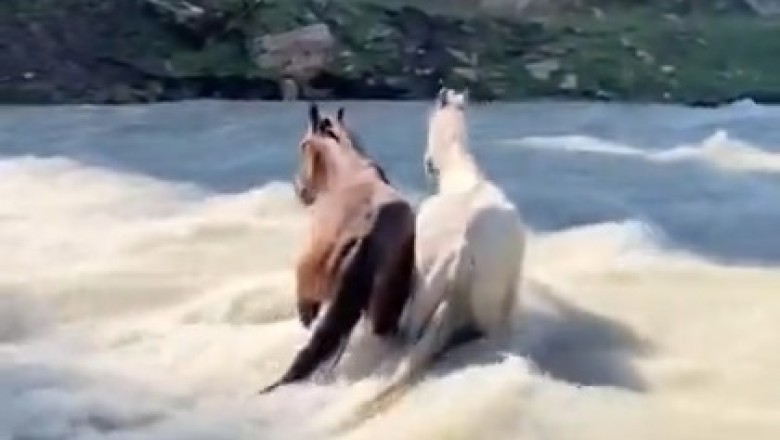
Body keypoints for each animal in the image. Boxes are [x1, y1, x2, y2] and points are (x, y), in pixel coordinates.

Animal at [341, 88, 527, 424]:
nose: (427, 164)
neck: (463, 174)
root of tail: (463, 249)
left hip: (430, 282)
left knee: (414, 332)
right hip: (486, 292)